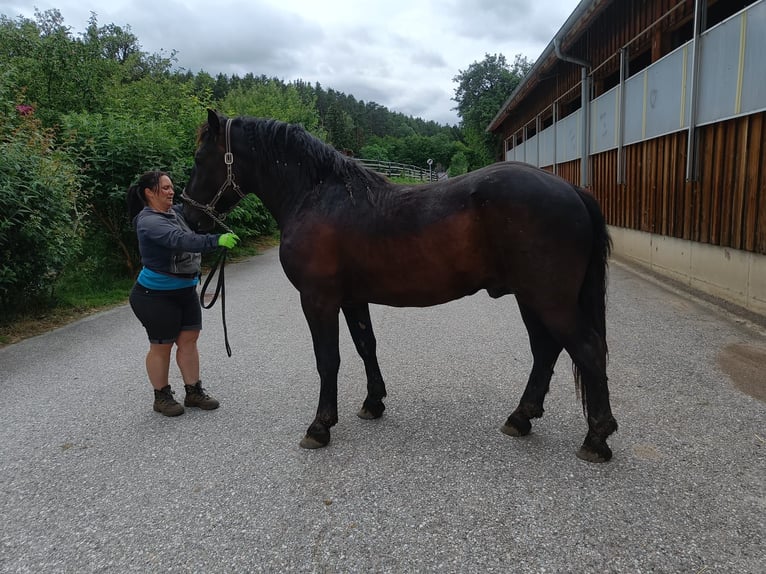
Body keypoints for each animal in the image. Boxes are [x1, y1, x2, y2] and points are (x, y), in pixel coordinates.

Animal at [182, 109, 618, 462]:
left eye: (200, 159)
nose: (189, 217)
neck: (318, 196)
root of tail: (571, 190)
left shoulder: (318, 300)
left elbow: (328, 359)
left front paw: (320, 426)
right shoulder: (352, 299)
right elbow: (365, 346)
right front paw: (373, 402)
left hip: (548, 300)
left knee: (587, 350)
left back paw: (596, 438)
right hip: (532, 299)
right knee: (546, 351)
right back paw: (521, 418)